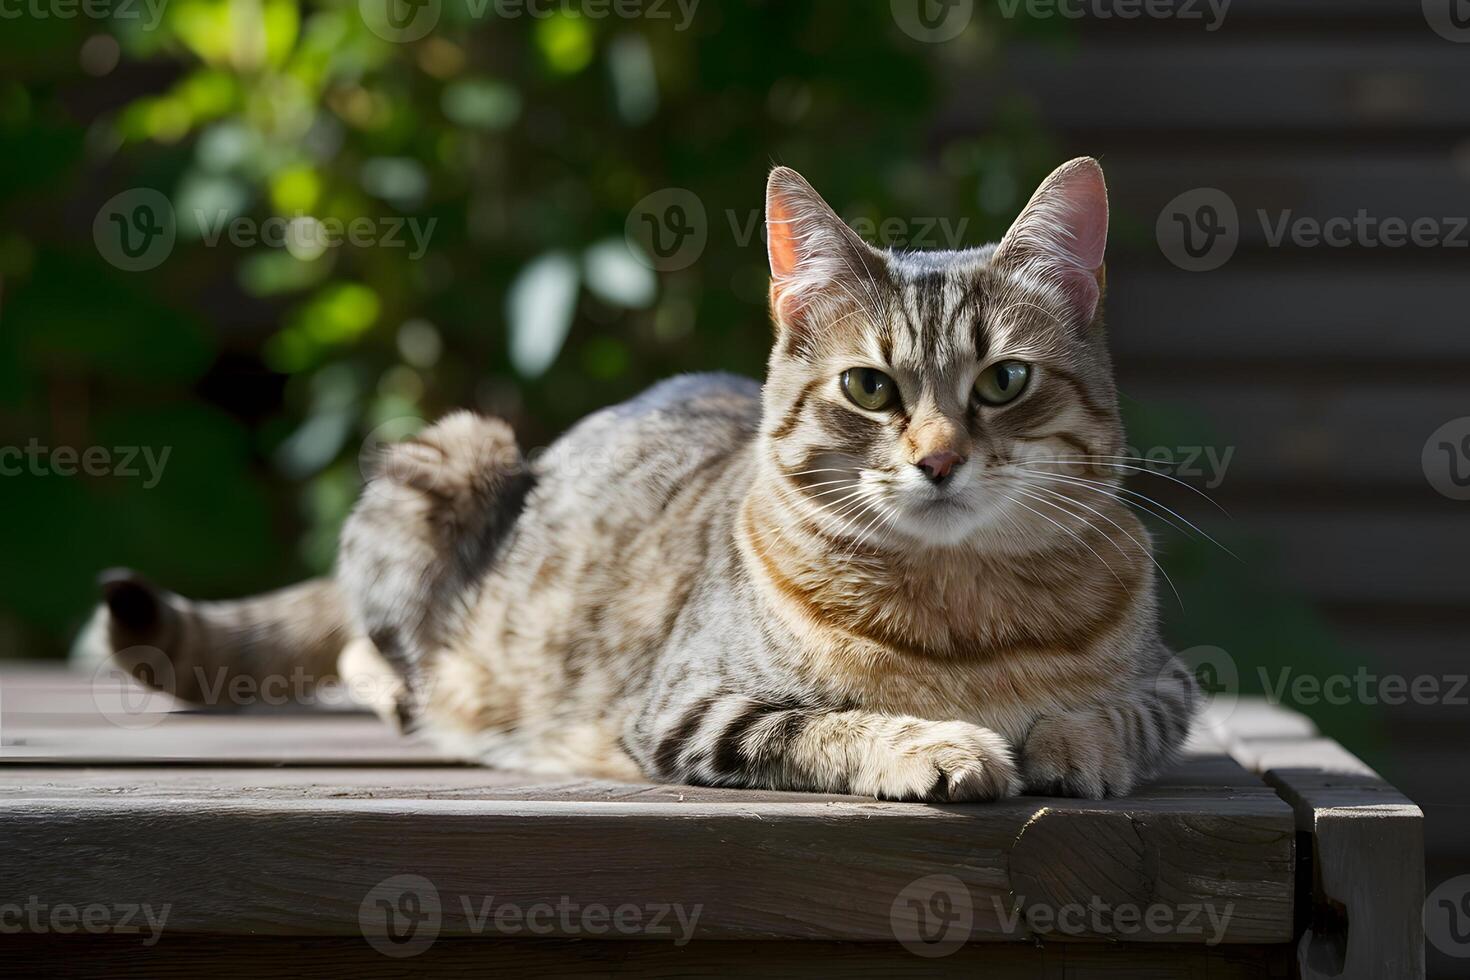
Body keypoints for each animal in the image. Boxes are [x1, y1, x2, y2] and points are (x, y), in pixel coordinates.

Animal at [85, 160, 1199, 799]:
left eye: (1005, 380)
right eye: (871, 387)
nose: (936, 459)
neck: (966, 615)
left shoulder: (1174, 682)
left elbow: (1126, 714)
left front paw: (1074, 742)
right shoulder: (689, 707)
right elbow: (832, 720)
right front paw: (942, 747)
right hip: (442, 462)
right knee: (369, 650)